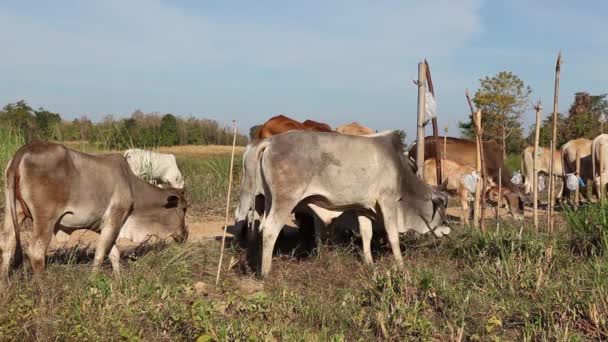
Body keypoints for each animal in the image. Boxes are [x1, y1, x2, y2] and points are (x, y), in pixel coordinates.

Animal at [1, 142, 188, 278]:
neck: (132, 185)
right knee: (36, 252)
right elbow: (99, 255)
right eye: (184, 208)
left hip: (14, 211)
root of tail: (23, 151)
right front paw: (93, 281)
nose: (185, 234)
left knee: (7, 244)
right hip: (45, 219)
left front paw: (118, 282)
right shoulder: (115, 219)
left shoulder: (105, 226)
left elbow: (114, 254)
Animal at [253, 131, 452, 278]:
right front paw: (401, 266)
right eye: (443, 204)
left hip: (270, 200)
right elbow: (393, 235)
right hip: (285, 200)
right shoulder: (388, 200)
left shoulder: (362, 207)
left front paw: (369, 263)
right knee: (270, 229)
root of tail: (272, 141)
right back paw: (266, 273)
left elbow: (366, 234)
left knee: (263, 227)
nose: (447, 229)